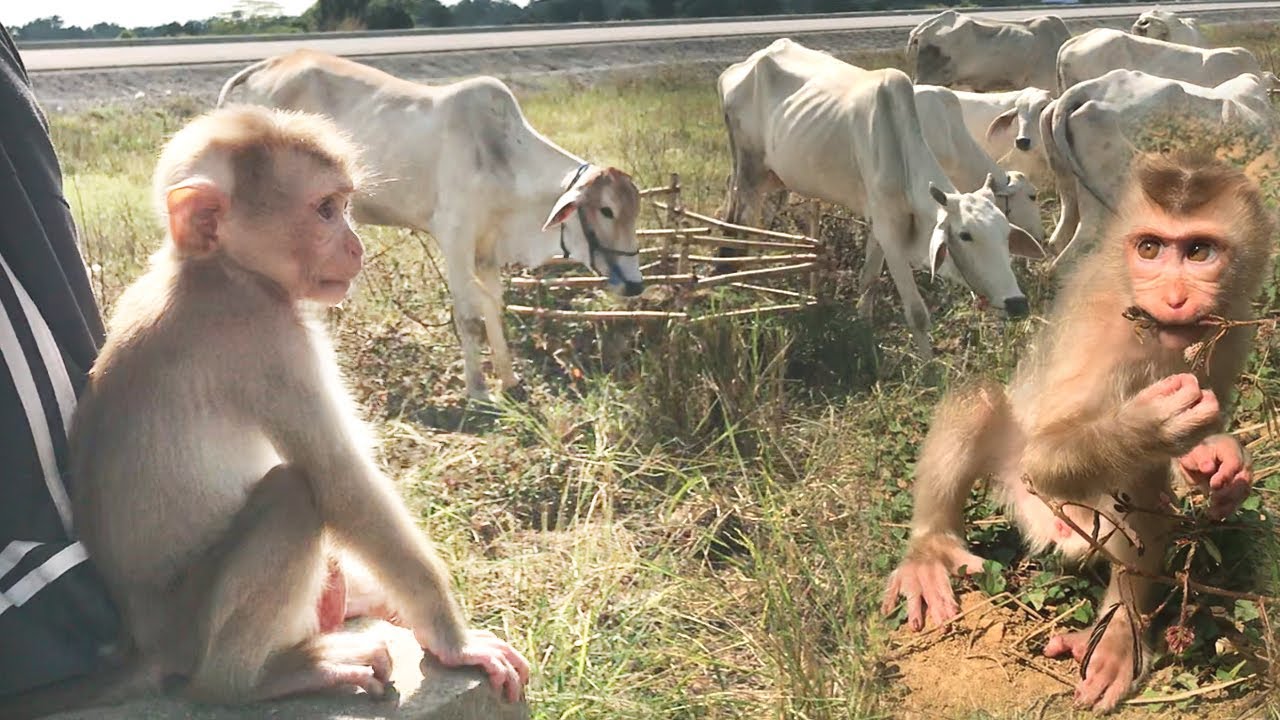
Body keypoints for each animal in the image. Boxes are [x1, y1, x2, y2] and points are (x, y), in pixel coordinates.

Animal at [0, 104, 529, 719]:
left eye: (344, 205)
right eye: (326, 210)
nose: (356, 248)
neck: (218, 269)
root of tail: (145, 645)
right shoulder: (268, 338)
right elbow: (339, 482)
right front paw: (455, 641)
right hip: (190, 631)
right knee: (293, 497)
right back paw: (249, 683)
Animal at [216, 50, 644, 402]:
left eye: (634, 212)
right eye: (606, 210)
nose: (636, 285)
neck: (503, 160)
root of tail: (262, 68)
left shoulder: (487, 246)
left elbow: (494, 307)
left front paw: (509, 380)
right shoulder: (455, 237)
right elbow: (468, 318)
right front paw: (478, 391)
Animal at [880, 150, 1274, 713]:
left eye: (1199, 251)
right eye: (1150, 248)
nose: (1173, 297)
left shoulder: (1234, 324)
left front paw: (1219, 462)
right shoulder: (1104, 329)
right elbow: (1045, 457)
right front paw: (1152, 422)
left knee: (1144, 488)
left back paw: (1117, 636)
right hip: (1027, 494)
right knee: (980, 400)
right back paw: (930, 550)